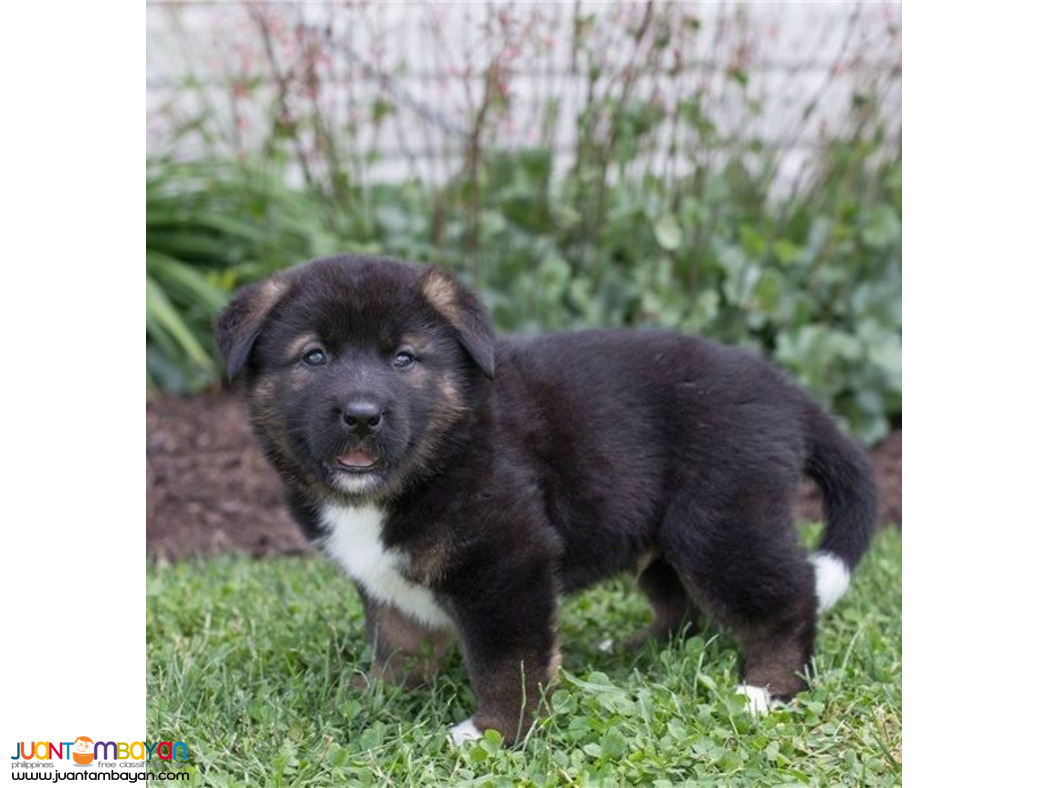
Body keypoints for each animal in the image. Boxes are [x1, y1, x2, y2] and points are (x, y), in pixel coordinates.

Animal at [215, 254, 877, 748]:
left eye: (403, 358)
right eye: (314, 356)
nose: (360, 415)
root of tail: (787, 392)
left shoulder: (509, 562)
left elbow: (509, 660)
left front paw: (494, 732)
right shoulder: (387, 578)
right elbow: (398, 640)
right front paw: (380, 694)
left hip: (720, 523)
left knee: (787, 596)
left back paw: (767, 688)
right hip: (664, 533)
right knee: (681, 602)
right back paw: (638, 649)